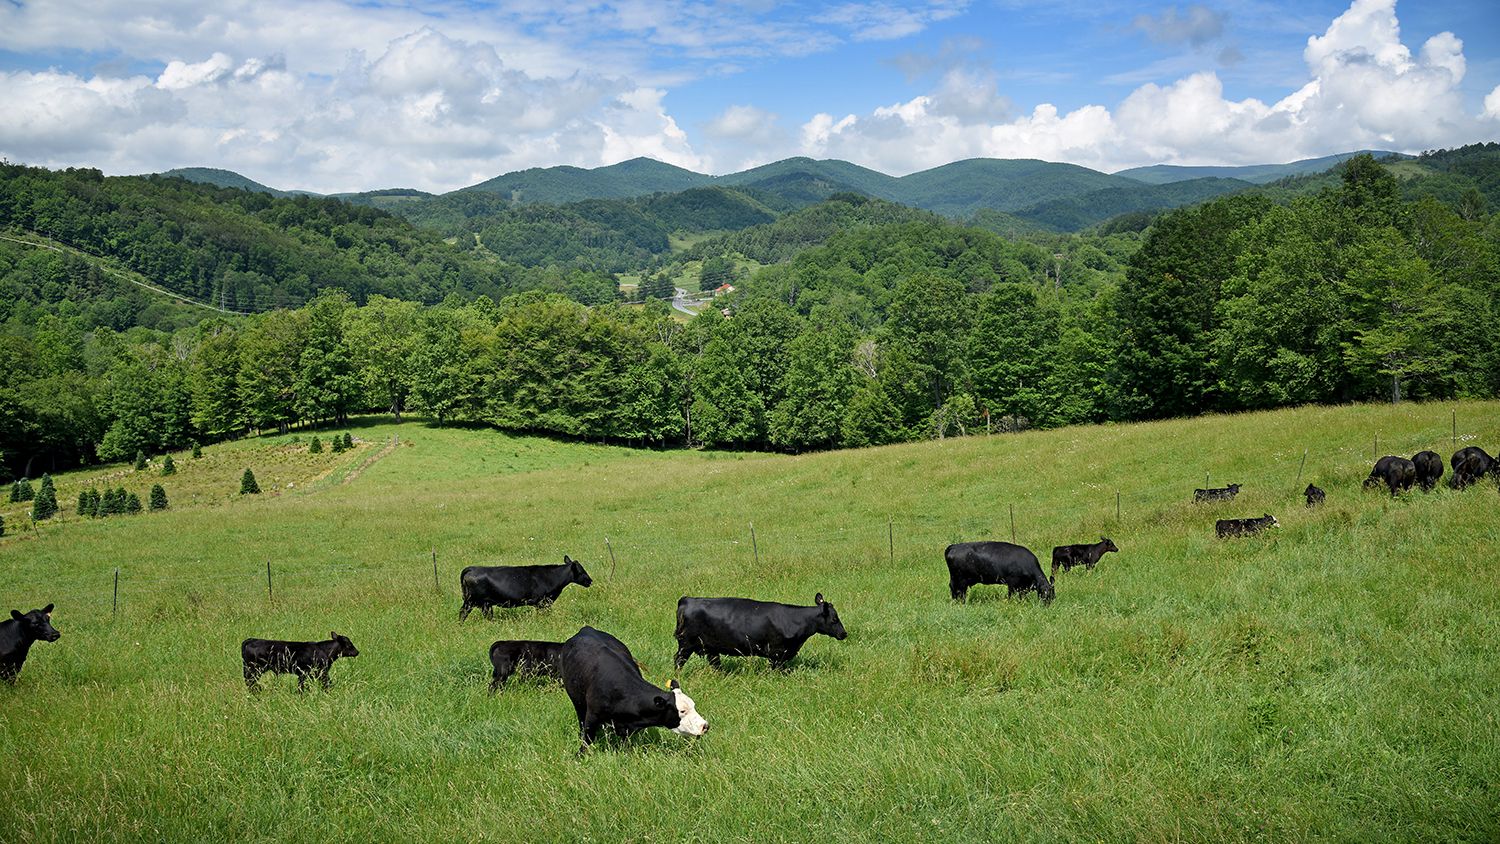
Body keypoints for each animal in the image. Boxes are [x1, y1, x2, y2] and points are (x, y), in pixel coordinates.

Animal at [456, 554, 591, 620]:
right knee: (463, 612)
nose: (590, 580)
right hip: (472, 601)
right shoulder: (542, 602)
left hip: (482, 604)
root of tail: (472, 568)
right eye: (581, 571)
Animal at [564, 626, 708, 752]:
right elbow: (587, 739)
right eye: (682, 711)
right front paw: (579, 755)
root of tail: (587, 629)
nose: (705, 725)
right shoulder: (593, 715)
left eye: (694, 706)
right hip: (577, 701)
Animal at [678, 593, 852, 674]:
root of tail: (688, 599)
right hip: (686, 644)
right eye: (834, 619)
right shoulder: (776, 653)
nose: (844, 634)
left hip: (710, 648)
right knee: (678, 661)